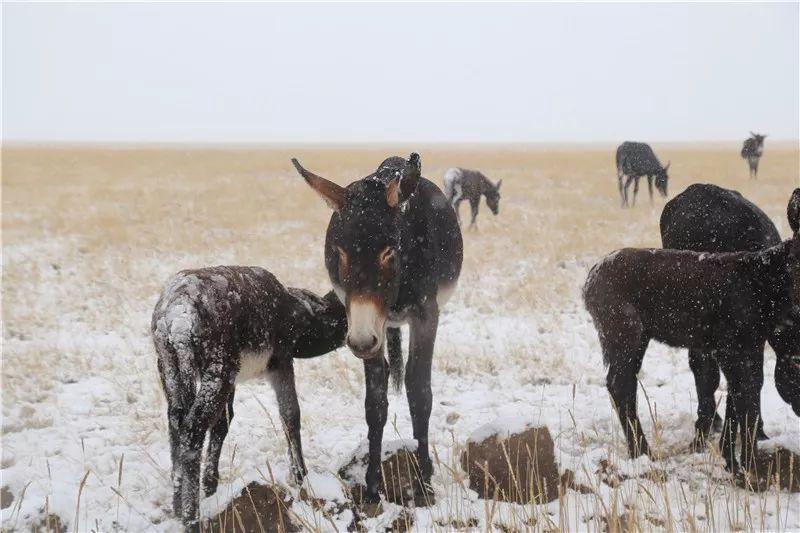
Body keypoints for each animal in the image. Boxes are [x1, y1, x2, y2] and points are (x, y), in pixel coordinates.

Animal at [153, 266, 346, 528]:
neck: (297, 311)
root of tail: (177, 314)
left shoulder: (234, 382)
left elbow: (223, 424)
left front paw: (211, 489)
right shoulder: (282, 363)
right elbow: (290, 415)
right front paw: (300, 477)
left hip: (172, 372)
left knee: (176, 424)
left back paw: (177, 507)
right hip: (217, 376)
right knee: (192, 431)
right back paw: (191, 520)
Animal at [580, 189, 800, 472]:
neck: (762, 286)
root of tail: (590, 280)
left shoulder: (747, 347)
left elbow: (742, 395)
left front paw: (734, 461)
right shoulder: (732, 346)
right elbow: (746, 397)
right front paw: (747, 467)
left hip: (637, 337)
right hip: (623, 332)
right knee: (620, 384)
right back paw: (643, 451)